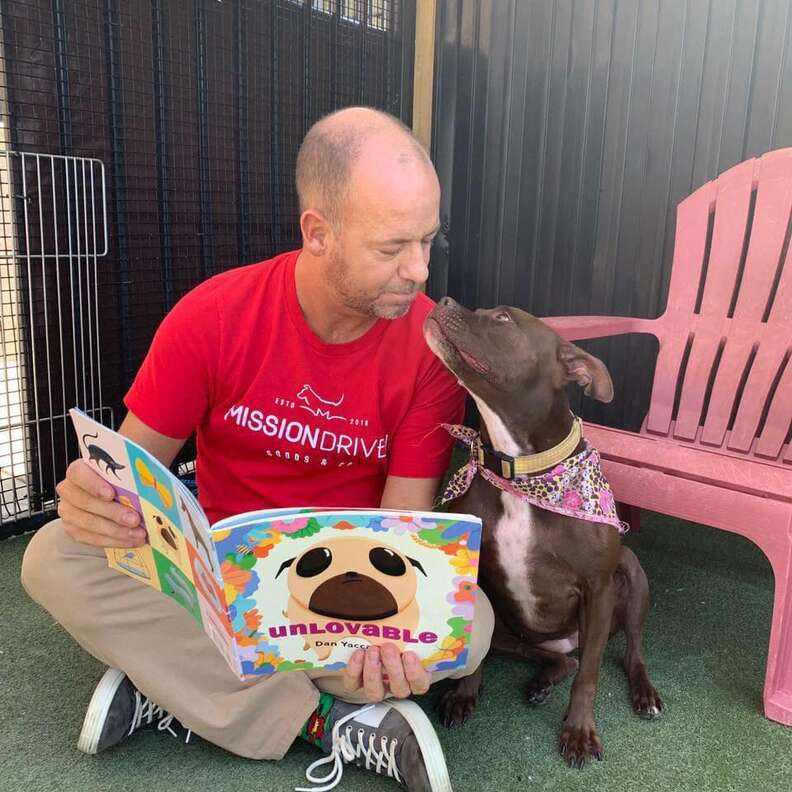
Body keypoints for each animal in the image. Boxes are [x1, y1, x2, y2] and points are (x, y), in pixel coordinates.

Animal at [424, 296, 664, 768]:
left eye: (502, 318)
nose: (443, 300)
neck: (519, 468)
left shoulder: (597, 589)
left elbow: (589, 676)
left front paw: (579, 732)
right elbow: (479, 653)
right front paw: (463, 695)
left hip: (630, 577)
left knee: (627, 651)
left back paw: (643, 692)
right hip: (512, 633)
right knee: (558, 661)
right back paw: (542, 680)